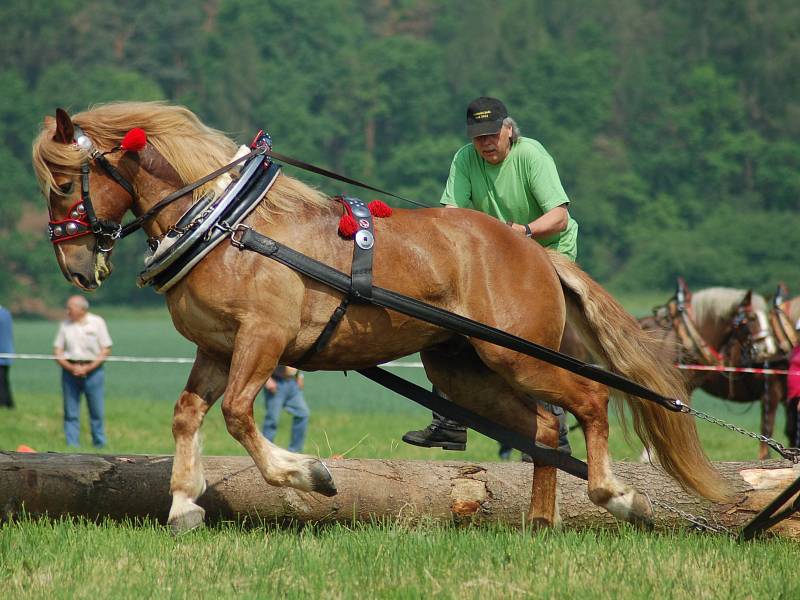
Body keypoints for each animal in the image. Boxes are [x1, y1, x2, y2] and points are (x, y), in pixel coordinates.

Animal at [34, 101, 728, 532]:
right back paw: (537, 523)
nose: (73, 264)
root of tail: (532, 250)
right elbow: (186, 414)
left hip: (514, 352)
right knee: (545, 429)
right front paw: (183, 505)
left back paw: (618, 496)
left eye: (65, 184)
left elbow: (235, 413)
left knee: (588, 403)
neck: (225, 227)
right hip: (461, 369)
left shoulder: (263, 339)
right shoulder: (217, 347)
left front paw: (306, 473)